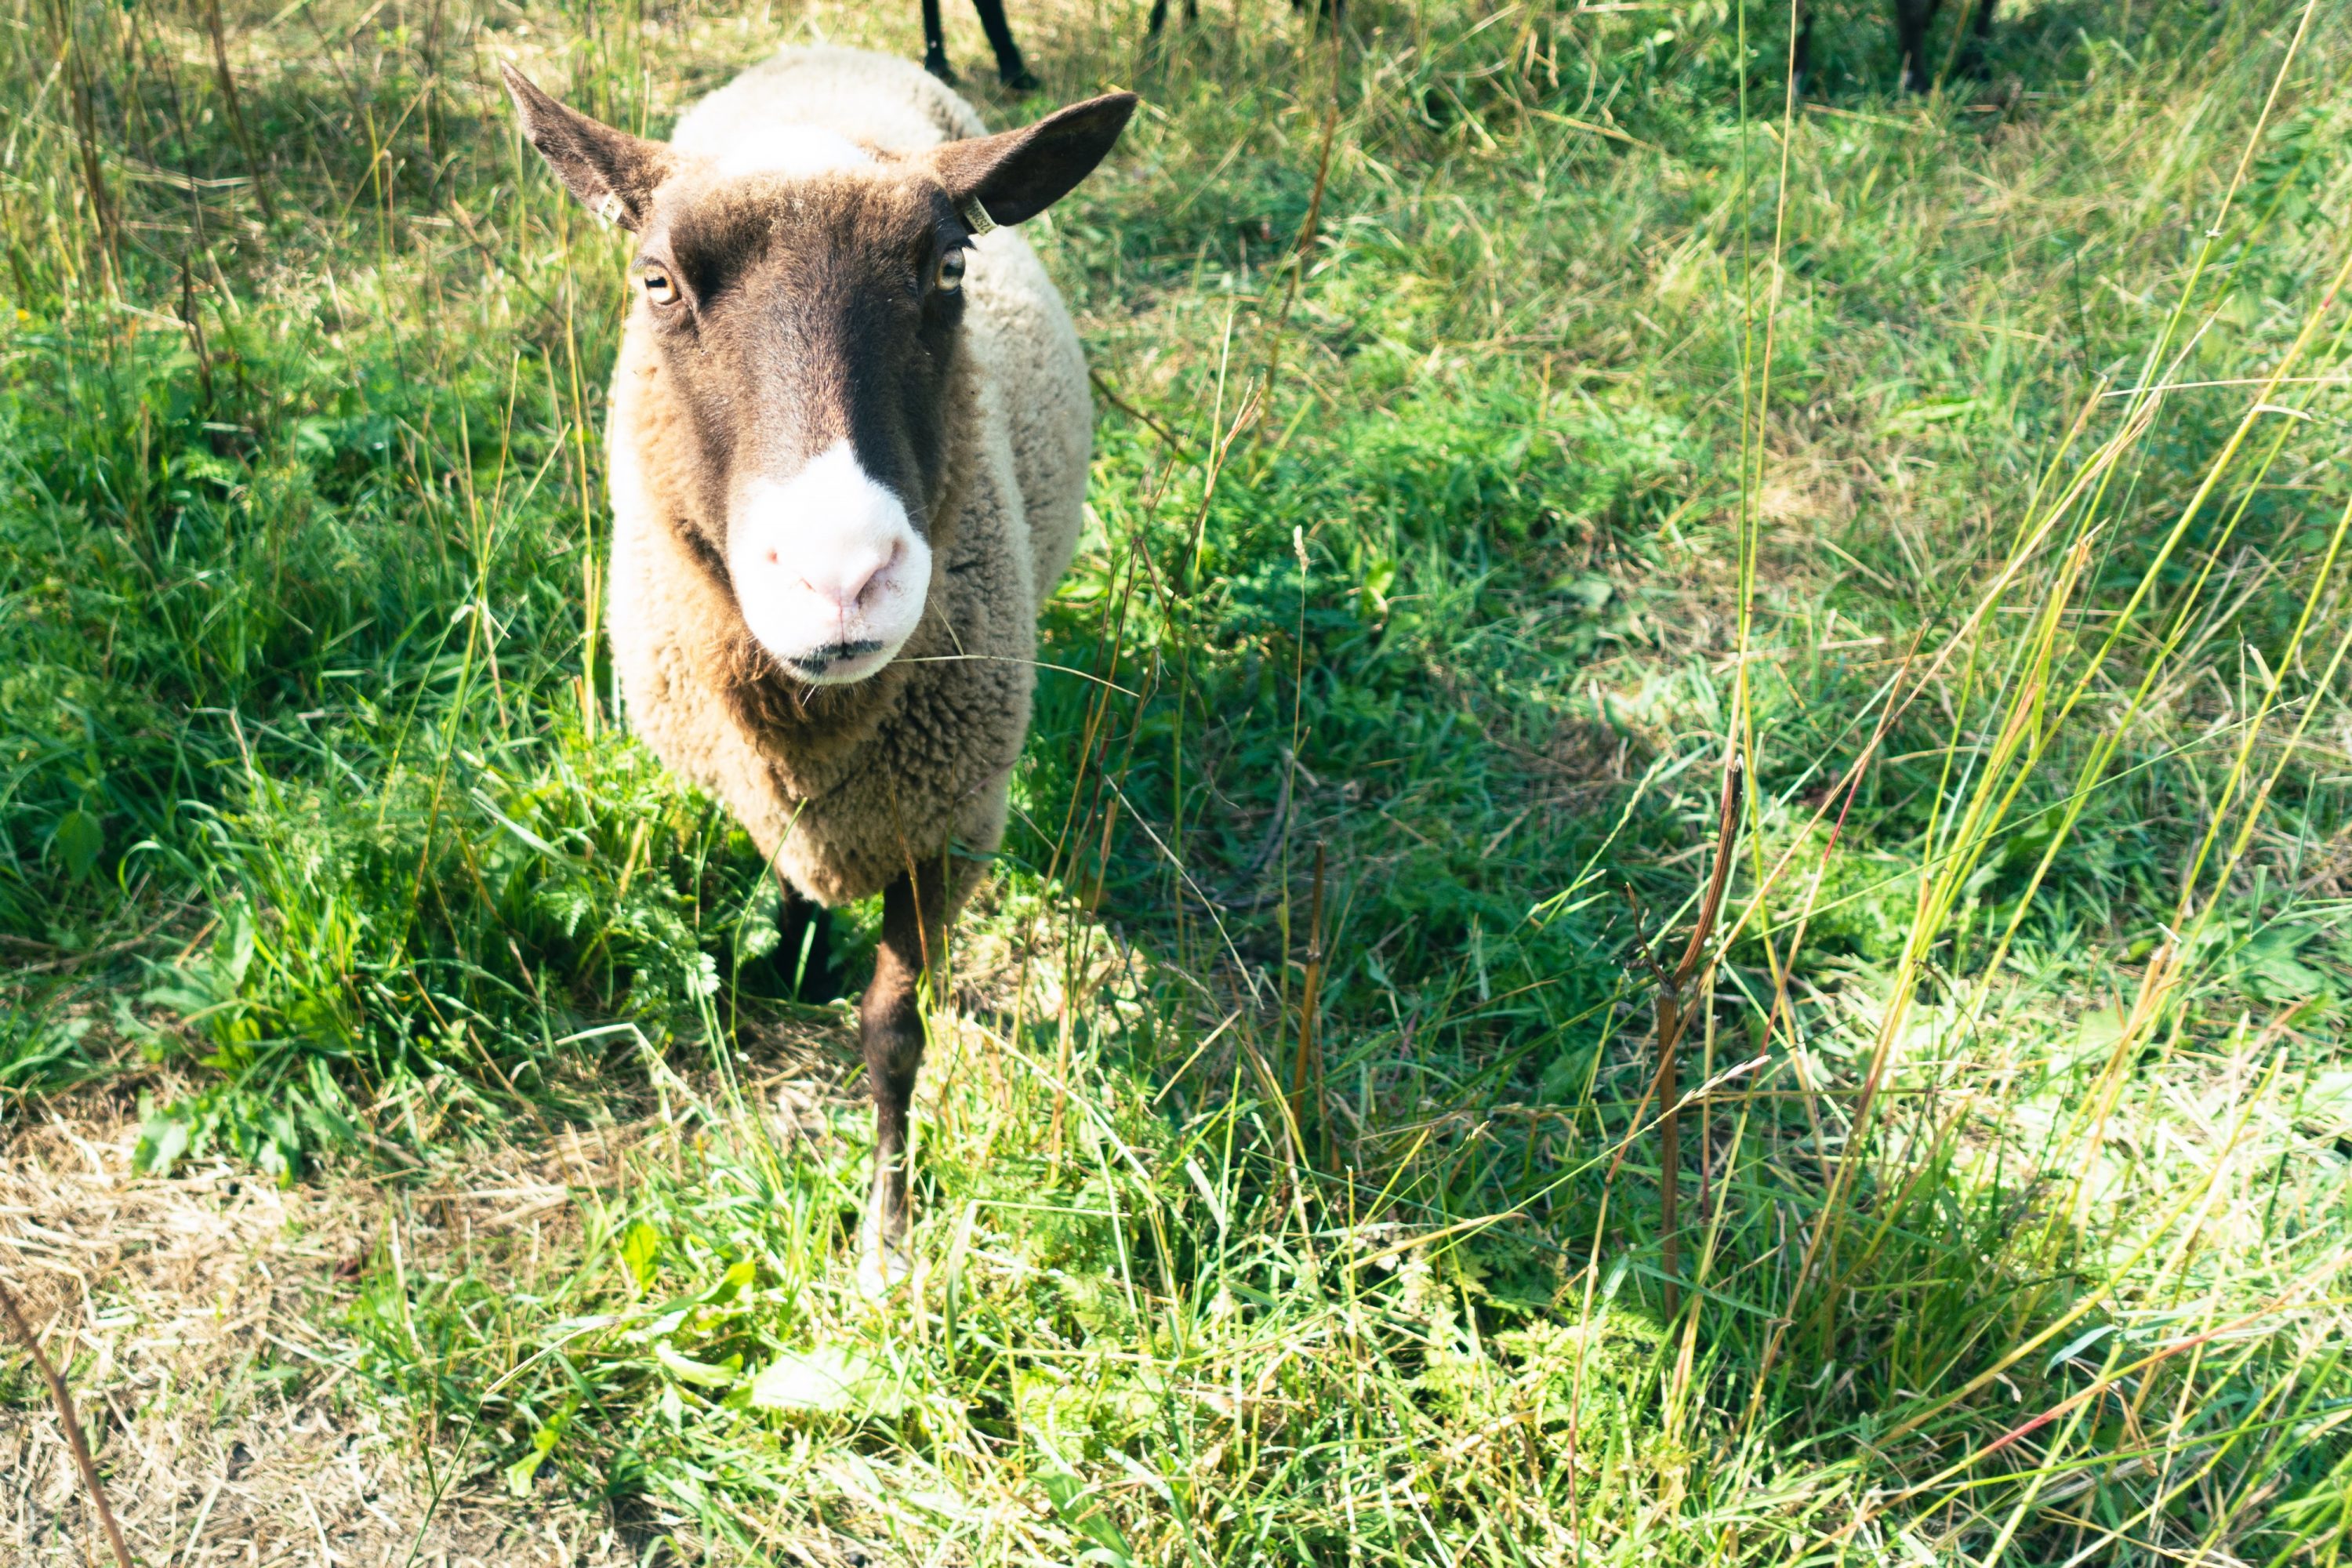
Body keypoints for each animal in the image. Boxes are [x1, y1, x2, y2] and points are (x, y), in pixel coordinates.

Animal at [501, 49, 1134, 1288]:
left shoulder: (951, 821)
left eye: (950, 267)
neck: (816, 715)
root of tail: (821, 52)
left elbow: (894, 1032)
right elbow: (787, 867)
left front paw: (887, 1239)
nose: (839, 577)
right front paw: (794, 951)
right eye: (656, 281)